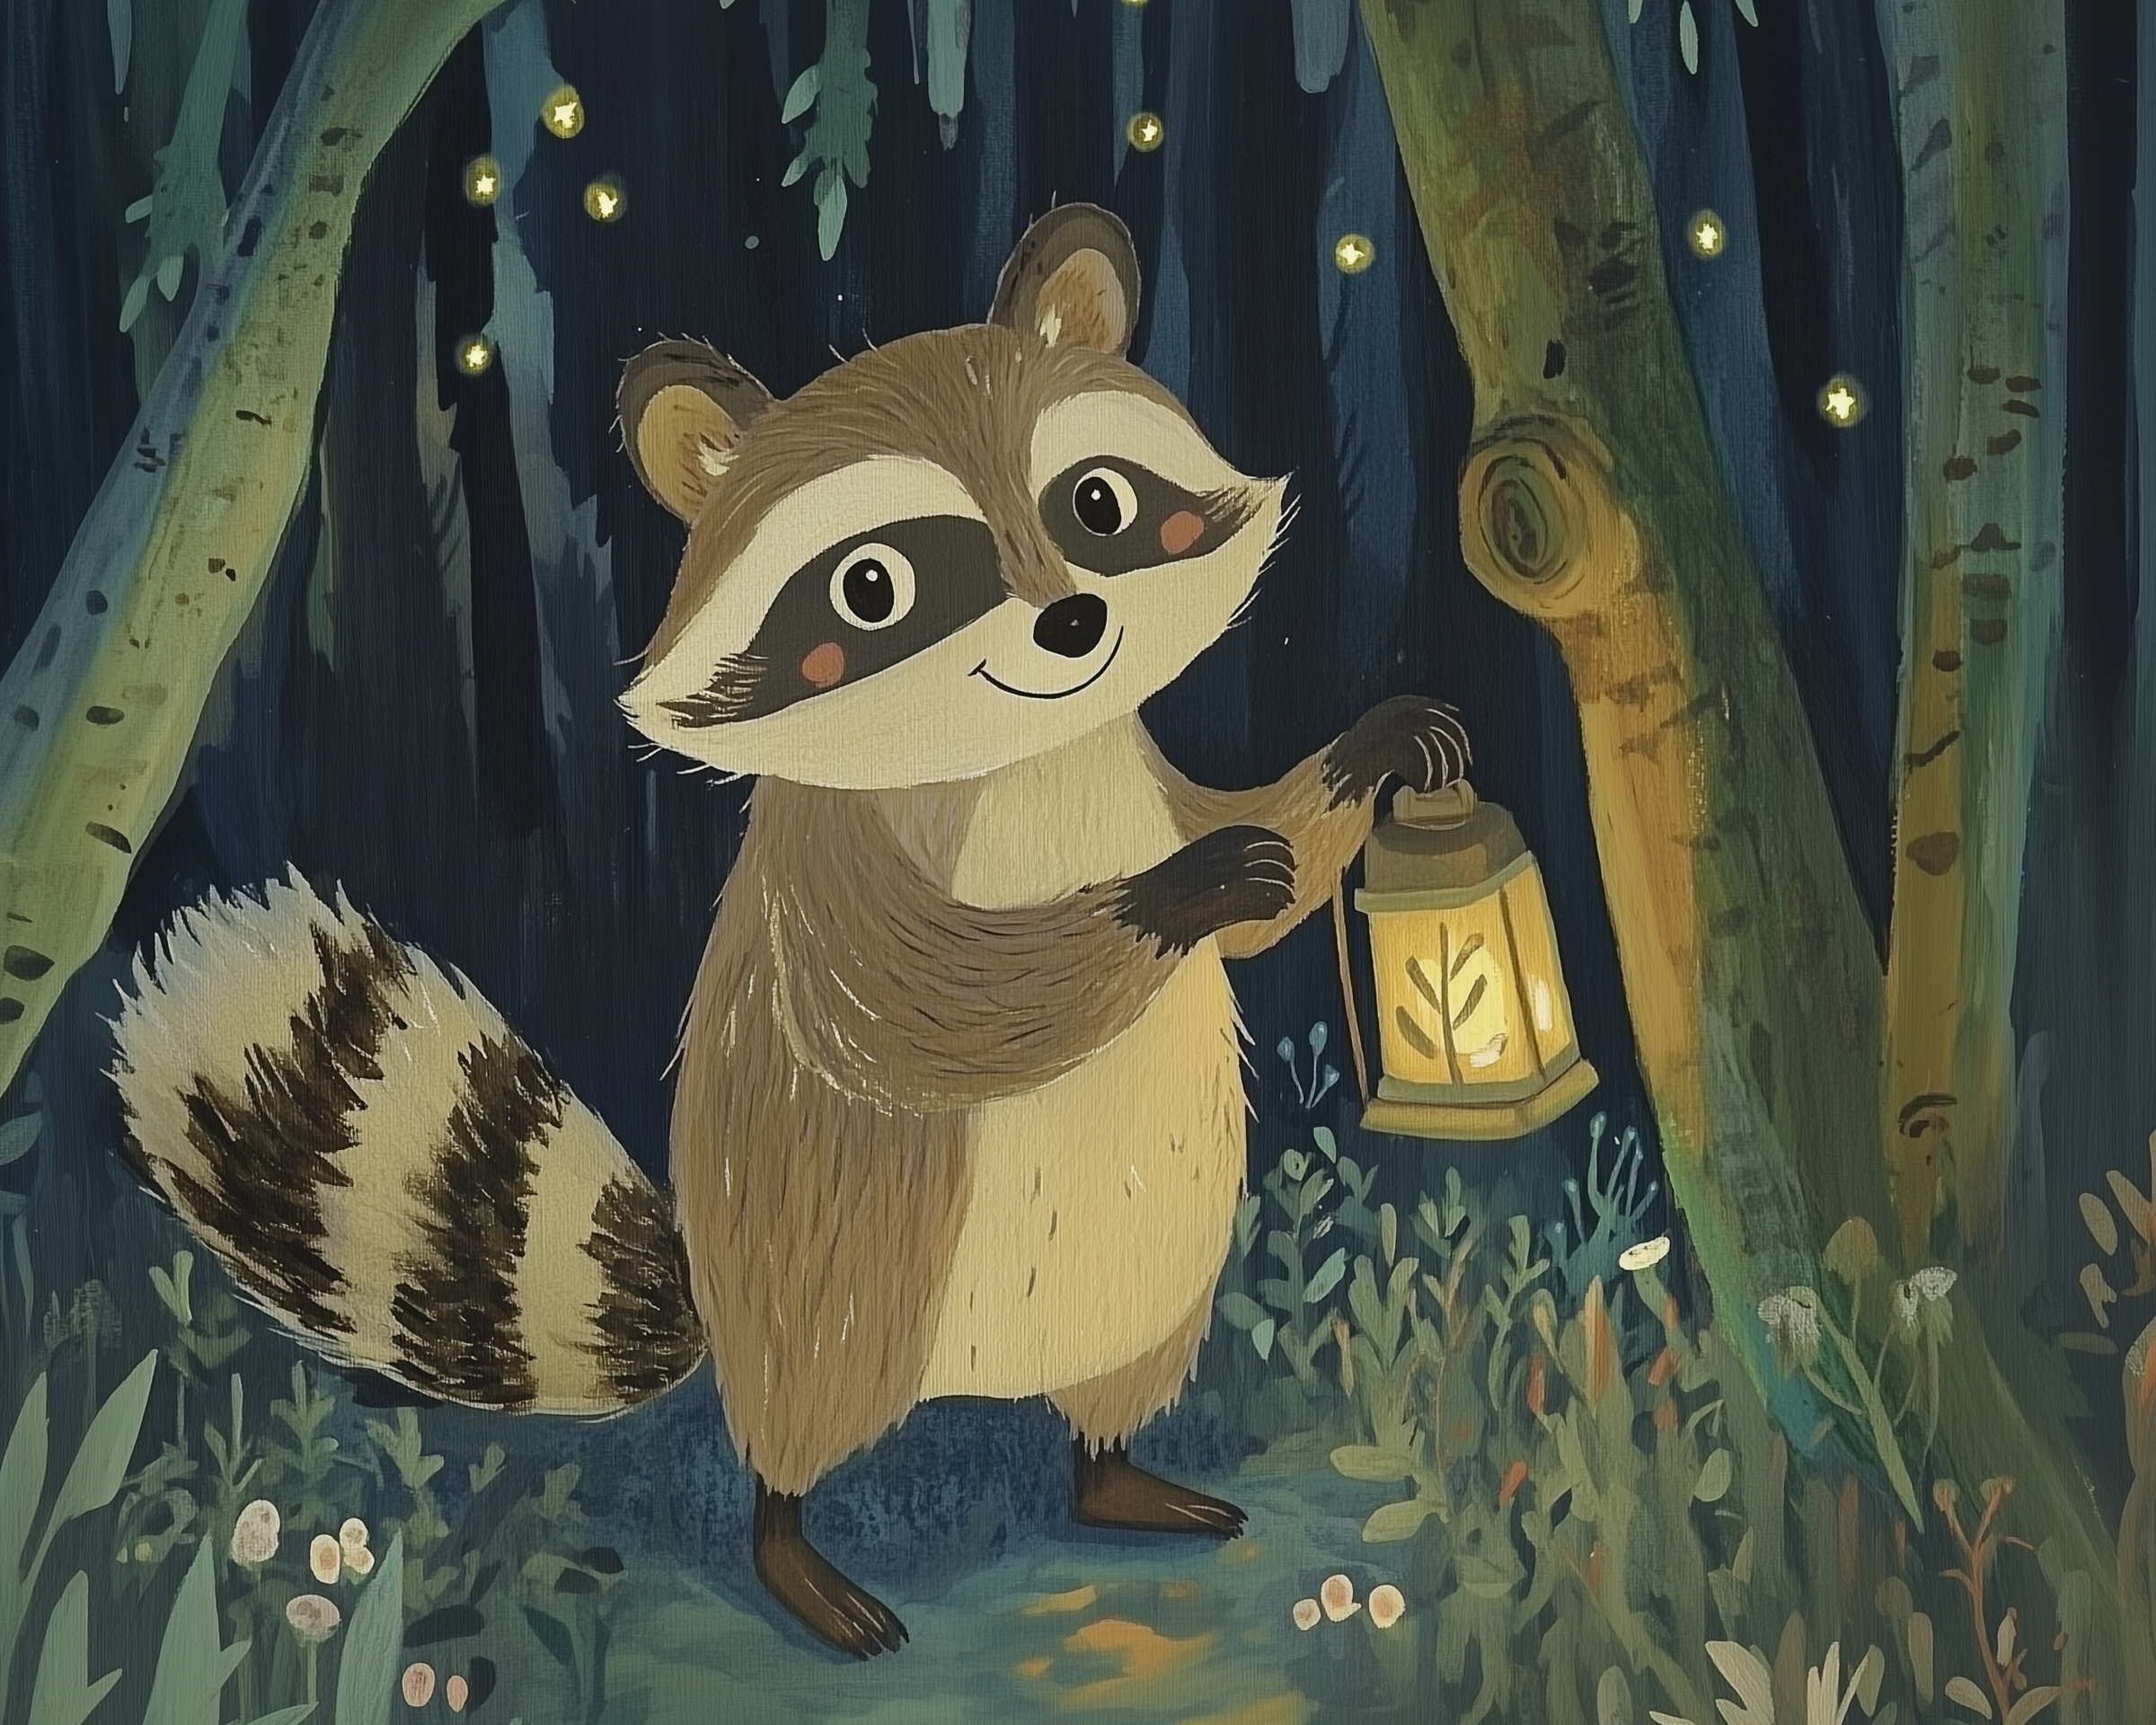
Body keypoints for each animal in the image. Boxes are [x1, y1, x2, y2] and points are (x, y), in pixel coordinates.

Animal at [110, 205, 1469, 1659]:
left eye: (1096, 505)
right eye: (875, 587)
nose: (1074, 621)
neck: (1026, 751)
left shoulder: (1138, 768)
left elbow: (1261, 853)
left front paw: (1363, 757)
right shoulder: (832, 866)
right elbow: (924, 1004)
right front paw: (1171, 898)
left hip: (1147, 1281)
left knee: (1122, 1376)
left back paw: (1113, 1474)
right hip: (823, 1291)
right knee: (799, 1427)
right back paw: (790, 1544)